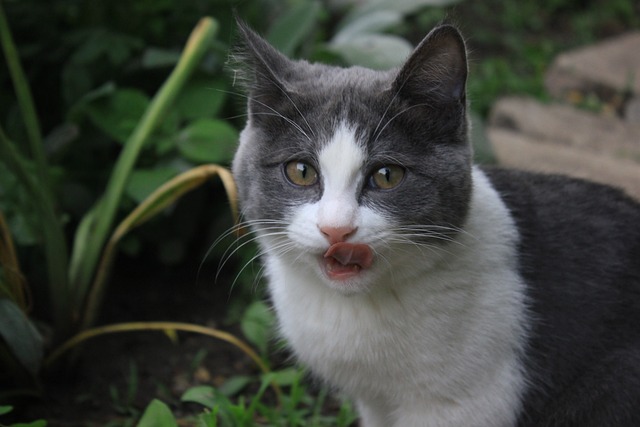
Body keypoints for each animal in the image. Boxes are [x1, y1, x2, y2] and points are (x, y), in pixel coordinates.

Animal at [230, 20, 640, 427]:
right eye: (300, 171)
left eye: (387, 176)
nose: (337, 229)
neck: (357, 307)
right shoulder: (374, 402)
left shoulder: (467, 402)